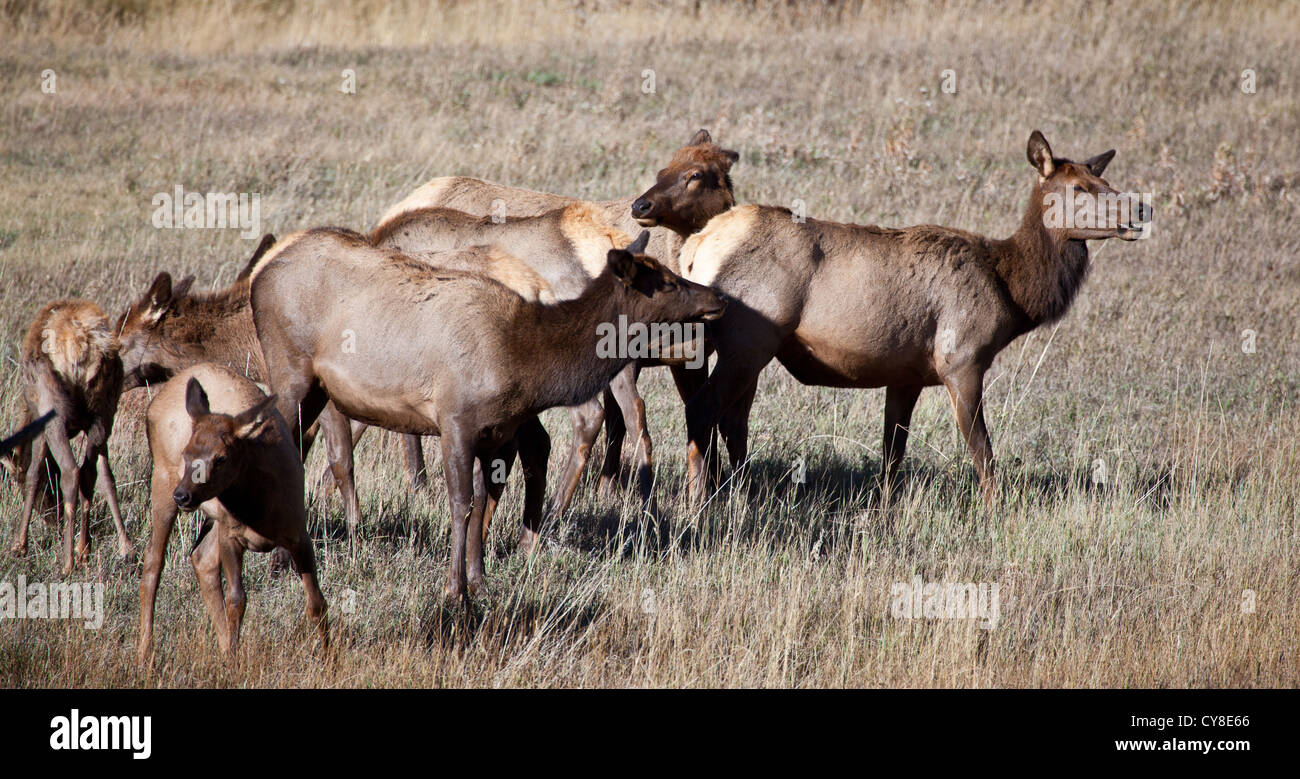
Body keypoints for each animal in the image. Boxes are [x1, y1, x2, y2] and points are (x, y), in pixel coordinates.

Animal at [8, 299, 134, 572]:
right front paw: (125, 547)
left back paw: (67, 562)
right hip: (103, 411)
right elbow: (107, 478)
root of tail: (81, 346)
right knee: (87, 474)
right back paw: (83, 550)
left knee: (71, 471)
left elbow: (34, 473)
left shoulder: (40, 422)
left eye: (16, 482)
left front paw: (19, 546)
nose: (50, 516)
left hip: (53, 408)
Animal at [248, 224, 728, 598]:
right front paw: (453, 589)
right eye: (666, 282)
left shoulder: (498, 431)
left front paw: (480, 582)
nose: (718, 297)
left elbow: (483, 500)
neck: (523, 360)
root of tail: (258, 275)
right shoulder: (455, 419)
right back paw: (278, 563)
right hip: (288, 366)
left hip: (317, 388)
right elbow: (460, 504)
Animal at [676, 131, 1154, 501]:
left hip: (747, 351)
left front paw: (885, 507)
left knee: (732, 420)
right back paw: (699, 503)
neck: (1013, 291)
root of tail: (695, 248)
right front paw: (997, 511)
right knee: (703, 410)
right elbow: (983, 453)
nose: (1141, 208)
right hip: (747, 342)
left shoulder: (906, 375)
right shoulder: (961, 358)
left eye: (1103, 178)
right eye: (1079, 188)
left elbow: (892, 454)